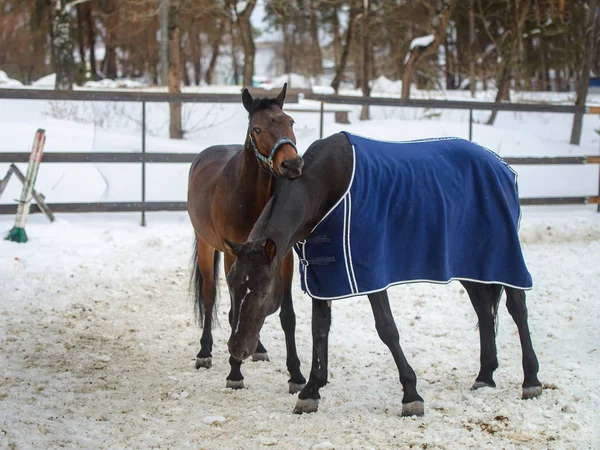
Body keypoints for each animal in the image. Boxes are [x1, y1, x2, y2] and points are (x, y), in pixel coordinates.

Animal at [188, 83, 308, 390]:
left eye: (290, 121)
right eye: (257, 128)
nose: (292, 164)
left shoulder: (282, 258)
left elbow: (286, 315)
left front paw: (296, 375)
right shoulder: (234, 255)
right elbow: (233, 311)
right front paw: (234, 372)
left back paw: (259, 348)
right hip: (206, 246)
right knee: (209, 296)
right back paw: (205, 351)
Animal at [223, 132, 540, 416]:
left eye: (263, 291)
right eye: (232, 286)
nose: (237, 349)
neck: (327, 187)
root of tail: (501, 165)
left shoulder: (371, 273)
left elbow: (386, 329)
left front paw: (411, 395)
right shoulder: (324, 275)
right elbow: (319, 329)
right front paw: (311, 390)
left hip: (504, 254)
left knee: (517, 308)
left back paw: (531, 380)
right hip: (471, 263)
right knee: (484, 311)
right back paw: (485, 377)